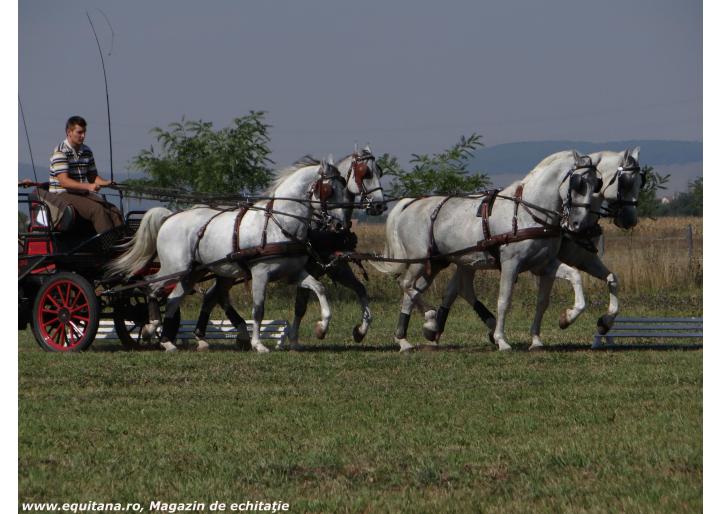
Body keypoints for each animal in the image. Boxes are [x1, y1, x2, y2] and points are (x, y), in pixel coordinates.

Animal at [108, 156, 350, 350]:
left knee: (173, 299)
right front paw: (258, 344)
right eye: (329, 190)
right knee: (151, 288)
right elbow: (258, 309)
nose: (341, 226)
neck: (278, 224)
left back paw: (169, 341)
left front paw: (321, 328)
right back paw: (150, 328)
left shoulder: (293, 273)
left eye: (345, 189)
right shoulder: (260, 273)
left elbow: (320, 288)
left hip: (192, 272)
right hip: (175, 268)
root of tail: (170, 216)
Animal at [372, 148, 600, 348]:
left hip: (437, 262)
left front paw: (562, 321)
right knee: (406, 284)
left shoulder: (544, 264)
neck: (528, 212)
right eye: (579, 184)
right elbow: (504, 300)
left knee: (415, 290)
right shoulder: (511, 263)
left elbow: (565, 284)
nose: (579, 224)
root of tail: (410, 204)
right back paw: (429, 320)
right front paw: (502, 340)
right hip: (419, 260)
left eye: (596, 184)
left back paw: (406, 339)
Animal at [420, 148, 644, 348]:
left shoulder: (582, 259)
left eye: (640, 182)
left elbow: (611, 279)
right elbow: (544, 295)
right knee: (455, 289)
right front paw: (566, 319)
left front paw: (604, 323)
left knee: (457, 289)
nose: (630, 220)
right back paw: (437, 327)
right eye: (625, 181)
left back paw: (442, 328)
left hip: (468, 261)